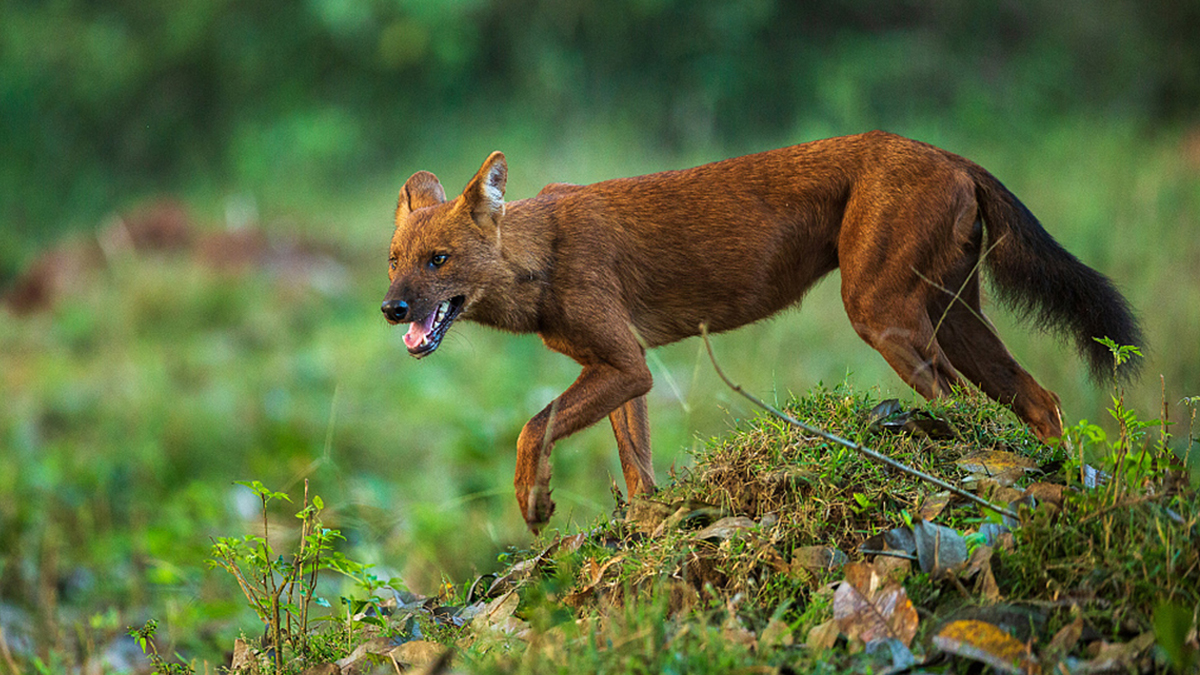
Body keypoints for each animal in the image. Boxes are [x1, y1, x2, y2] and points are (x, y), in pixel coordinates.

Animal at [379, 131, 1137, 530]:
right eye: (393, 260)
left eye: (438, 260)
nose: (391, 309)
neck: (540, 258)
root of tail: (951, 154)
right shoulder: (626, 367)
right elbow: (636, 466)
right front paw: (645, 526)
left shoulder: (625, 362)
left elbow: (533, 425)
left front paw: (534, 503)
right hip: (955, 318)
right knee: (1040, 400)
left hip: (883, 313)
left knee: (962, 404)